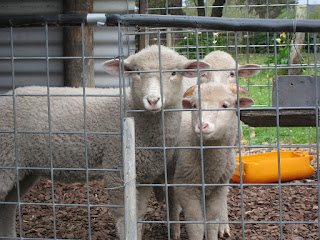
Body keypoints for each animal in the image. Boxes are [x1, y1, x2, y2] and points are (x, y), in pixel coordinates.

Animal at [0, 45, 210, 240]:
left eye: (174, 72)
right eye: (136, 72)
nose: (152, 100)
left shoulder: (144, 176)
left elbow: (138, 216)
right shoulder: (117, 168)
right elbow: (125, 218)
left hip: (25, 170)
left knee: (8, 206)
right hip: (5, 159)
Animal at [171, 81, 254, 239]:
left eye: (225, 105)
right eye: (194, 105)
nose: (202, 126)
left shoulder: (218, 186)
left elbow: (212, 220)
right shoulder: (185, 186)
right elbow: (195, 224)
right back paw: (174, 228)